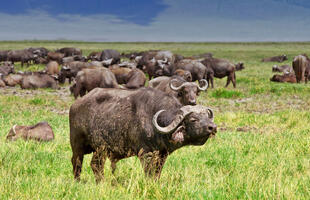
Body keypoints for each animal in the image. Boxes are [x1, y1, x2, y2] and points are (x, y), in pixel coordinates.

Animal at [69, 87, 217, 181]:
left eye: (207, 116)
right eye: (193, 119)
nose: (213, 127)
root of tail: (75, 105)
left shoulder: (162, 155)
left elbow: (157, 173)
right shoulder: (145, 154)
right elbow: (149, 173)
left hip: (101, 149)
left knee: (96, 165)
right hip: (77, 145)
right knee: (77, 162)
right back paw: (77, 181)